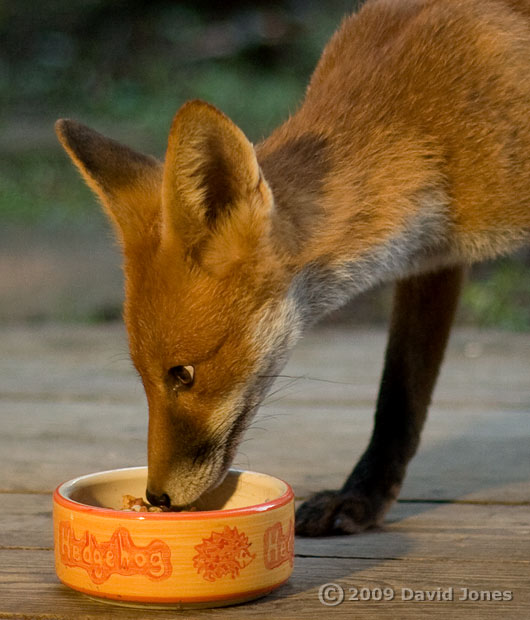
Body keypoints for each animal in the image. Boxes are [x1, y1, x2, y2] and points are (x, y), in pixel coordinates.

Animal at [55, 0, 524, 536]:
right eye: (145, 375)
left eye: (184, 373)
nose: (157, 497)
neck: (429, 132)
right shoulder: (432, 260)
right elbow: (400, 397)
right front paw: (361, 497)